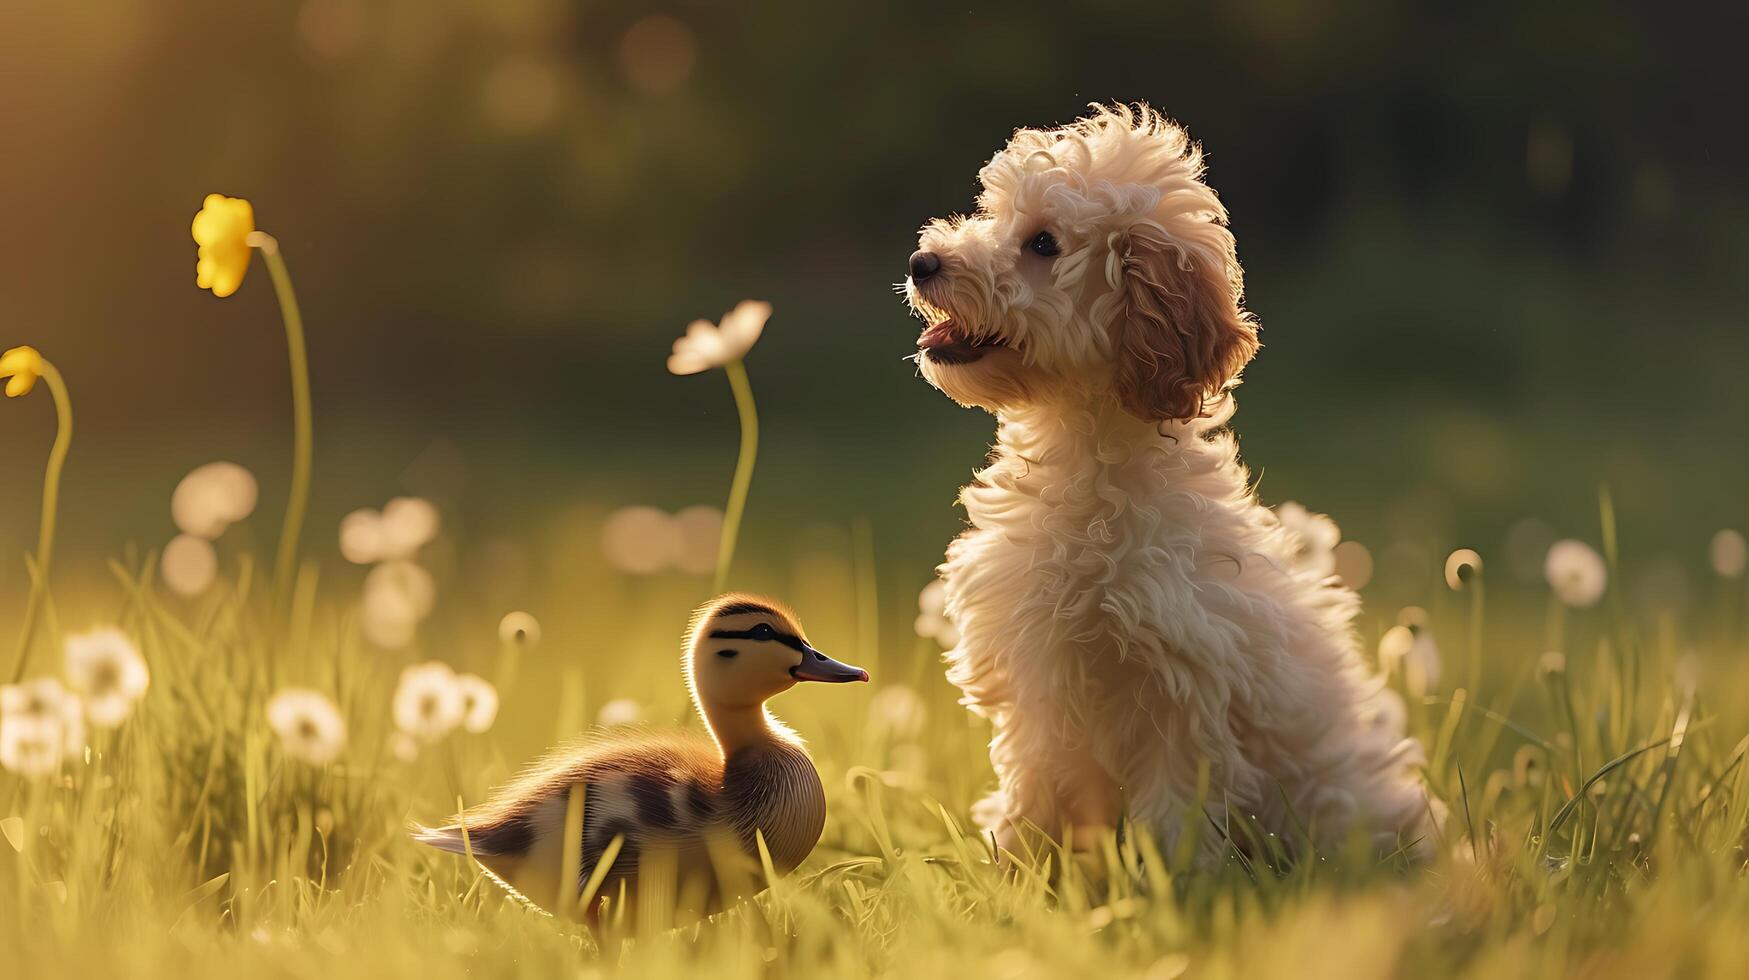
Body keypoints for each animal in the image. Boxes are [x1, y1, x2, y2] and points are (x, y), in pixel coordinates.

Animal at [902, 103, 1434, 861]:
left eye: (1042, 243)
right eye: (992, 214)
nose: (922, 263)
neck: (1086, 460)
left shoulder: (1181, 688)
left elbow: (1175, 806)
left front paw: (1164, 877)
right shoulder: (1037, 680)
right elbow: (1034, 781)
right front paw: (1019, 864)